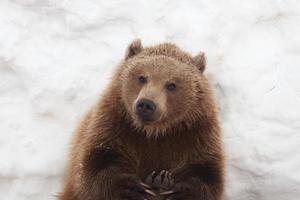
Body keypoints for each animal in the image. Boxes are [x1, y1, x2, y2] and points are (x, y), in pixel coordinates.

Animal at [58, 39, 223, 200]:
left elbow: (207, 175)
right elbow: (95, 167)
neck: (154, 132)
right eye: (142, 77)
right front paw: (133, 188)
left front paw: (177, 190)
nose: (146, 104)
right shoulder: (113, 125)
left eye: (171, 85)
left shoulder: (196, 135)